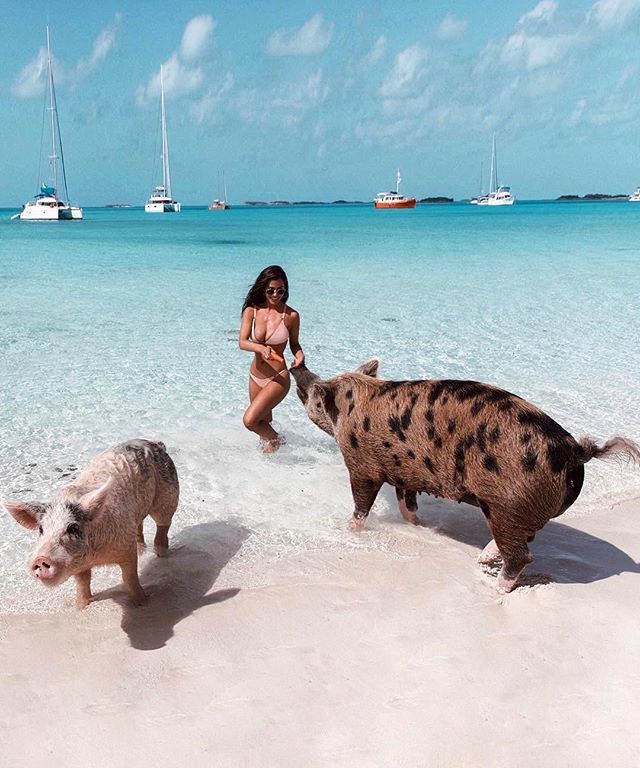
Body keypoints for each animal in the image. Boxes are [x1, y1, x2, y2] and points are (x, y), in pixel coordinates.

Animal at [3, 439, 179, 608]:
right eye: (41, 529)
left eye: (72, 528)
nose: (40, 559)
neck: (95, 557)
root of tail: (154, 443)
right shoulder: (80, 566)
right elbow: (83, 582)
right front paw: (81, 606)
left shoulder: (126, 549)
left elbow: (129, 577)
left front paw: (141, 602)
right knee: (139, 526)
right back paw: (142, 550)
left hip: (168, 494)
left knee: (163, 524)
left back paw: (161, 554)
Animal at [291, 361, 640, 592]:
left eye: (315, 396)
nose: (299, 372)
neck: (352, 407)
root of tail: (573, 451)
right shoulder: (405, 472)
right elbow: (407, 503)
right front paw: (418, 525)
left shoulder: (361, 465)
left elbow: (362, 502)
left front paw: (347, 529)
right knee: (523, 540)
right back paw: (482, 562)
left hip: (508, 504)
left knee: (521, 553)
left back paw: (496, 588)